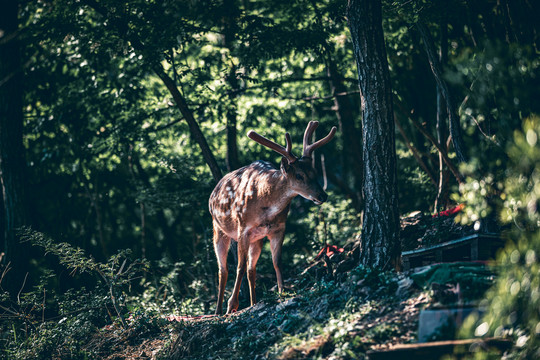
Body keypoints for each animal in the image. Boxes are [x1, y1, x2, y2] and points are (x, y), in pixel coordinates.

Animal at [209, 121, 336, 316]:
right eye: (299, 175)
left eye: (314, 171)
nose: (322, 195)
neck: (265, 204)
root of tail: (212, 193)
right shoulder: (243, 228)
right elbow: (239, 266)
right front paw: (232, 305)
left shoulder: (278, 228)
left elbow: (277, 261)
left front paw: (282, 292)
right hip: (219, 230)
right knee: (223, 270)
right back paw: (218, 310)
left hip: (257, 239)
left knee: (251, 269)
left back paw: (253, 302)